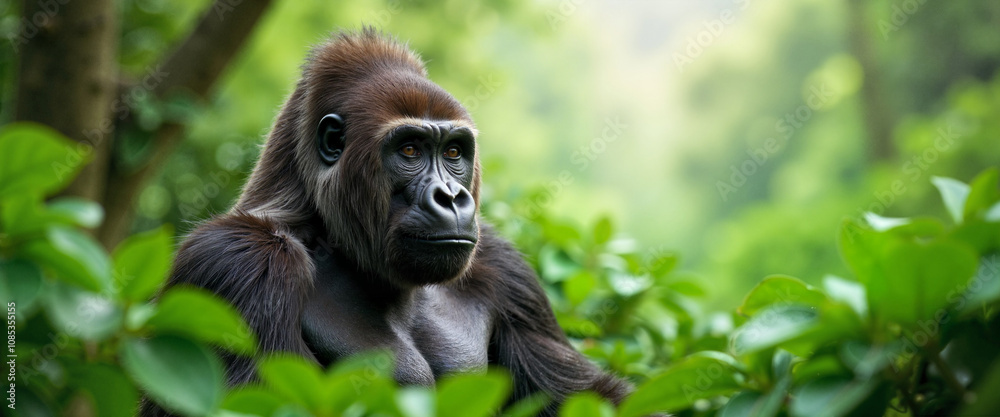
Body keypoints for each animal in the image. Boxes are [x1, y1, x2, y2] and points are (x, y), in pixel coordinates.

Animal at [156, 28, 630, 416]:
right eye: (410, 151)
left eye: (453, 153)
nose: (451, 197)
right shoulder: (239, 261)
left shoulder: (506, 272)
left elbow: (594, 396)